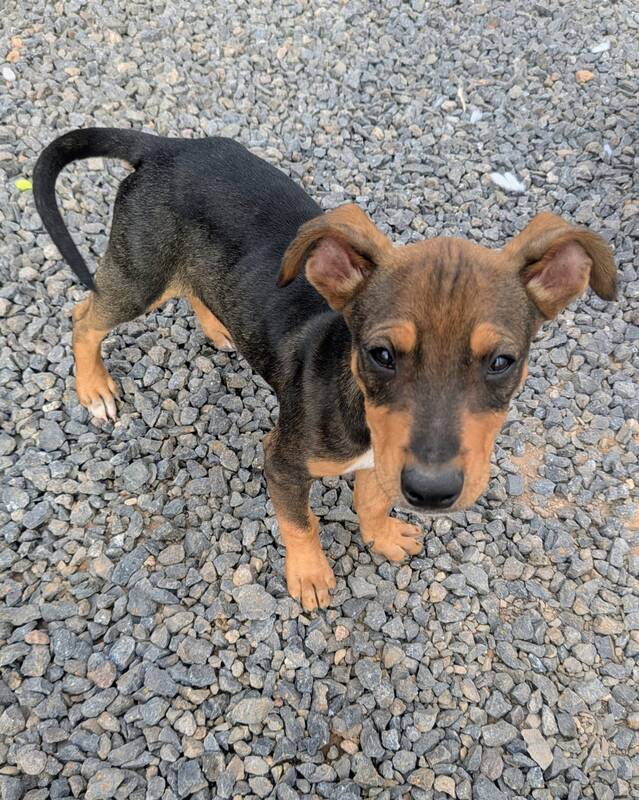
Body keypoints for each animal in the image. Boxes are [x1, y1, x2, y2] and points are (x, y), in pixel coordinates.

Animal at [33, 128, 617, 610]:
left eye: (501, 362)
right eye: (381, 354)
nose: (431, 493)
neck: (353, 394)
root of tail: (164, 145)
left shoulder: (385, 458)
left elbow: (374, 502)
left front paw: (382, 535)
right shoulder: (282, 461)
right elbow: (300, 523)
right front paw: (310, 576)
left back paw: (219, 327)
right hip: (140, 276)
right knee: (83, 316)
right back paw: (94, 388)